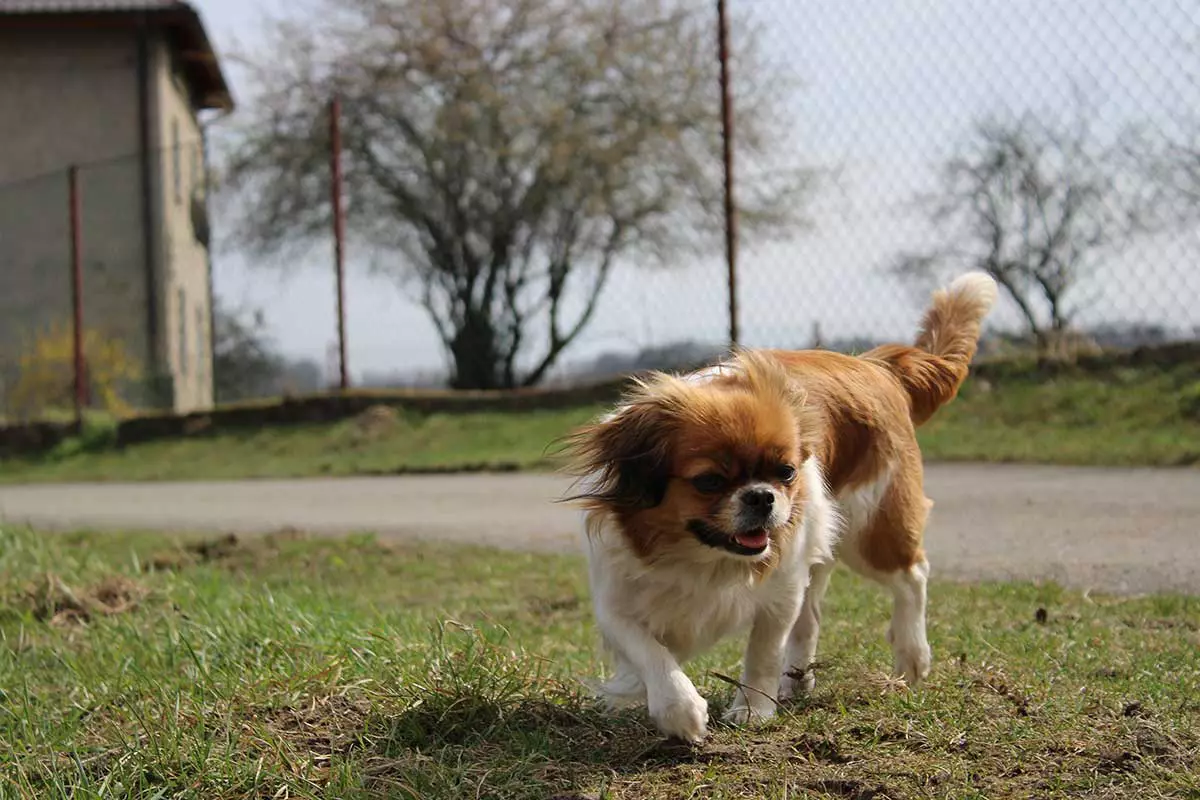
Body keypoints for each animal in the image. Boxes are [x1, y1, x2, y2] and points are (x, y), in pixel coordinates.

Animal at [566, 272, 998, 743]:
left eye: (787, 472)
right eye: (709, 481)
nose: (762, 495)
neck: (703, 557)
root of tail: (877, 366)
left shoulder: (779, 590)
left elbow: (763, 651)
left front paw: (752, 709)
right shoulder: (616, 599)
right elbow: (648, 650)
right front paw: (680, 709)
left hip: (869, 532)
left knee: (912, 575)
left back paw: (911, 656)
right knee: (812, 617)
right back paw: (798, 680)